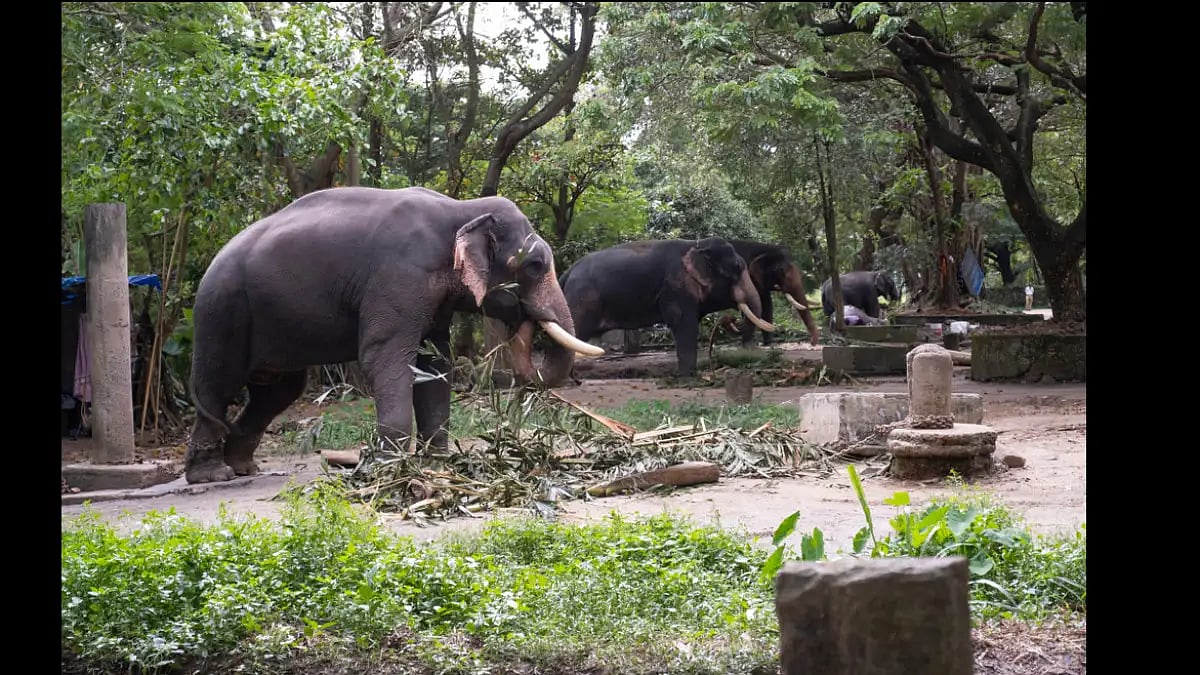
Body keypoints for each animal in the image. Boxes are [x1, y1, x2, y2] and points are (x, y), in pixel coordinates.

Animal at [182, 186, 602, 484]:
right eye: (534, 266)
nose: (526, 318)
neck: (460, 210)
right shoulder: (399, 276)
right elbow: (385, 357)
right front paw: (393, 469)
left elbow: (435, 364)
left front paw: (438, 463)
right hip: (223, 312)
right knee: (218, 382)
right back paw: (213, 474)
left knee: (278, 391)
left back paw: (243, 467)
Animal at [538, 237, 775, 384]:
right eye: (737, 269)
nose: (731, 319)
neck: (697, 245)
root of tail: (565, 274)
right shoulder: (676, 287)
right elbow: (683, 324)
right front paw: (689, 379)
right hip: (581, 301)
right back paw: (565, 381)